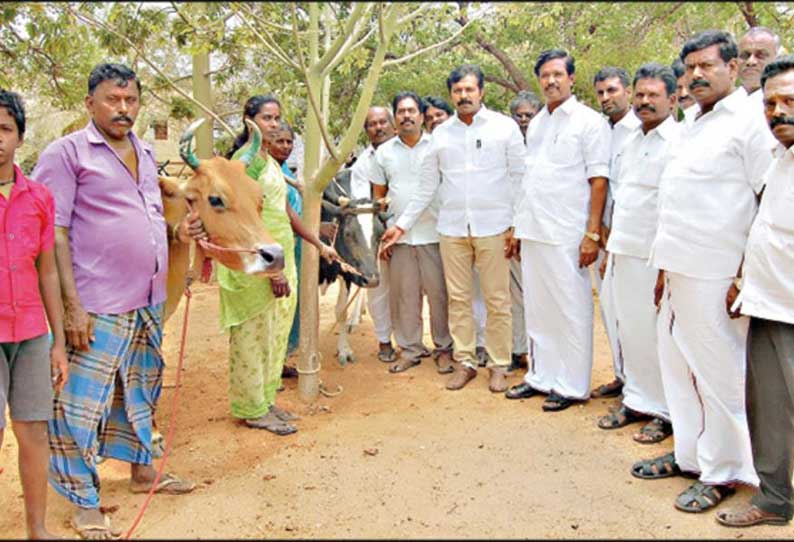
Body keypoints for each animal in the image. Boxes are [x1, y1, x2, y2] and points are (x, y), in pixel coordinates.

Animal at [318, 169, 386, 366]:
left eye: (381, 233)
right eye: (348, 233)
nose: (372, 279)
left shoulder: (348, 274)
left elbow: (341, 311)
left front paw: (344, 350)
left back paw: (355, 318)